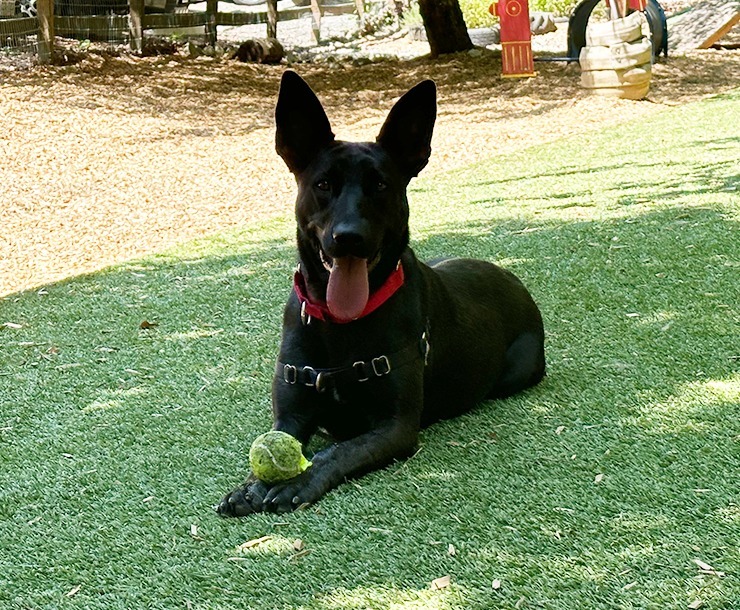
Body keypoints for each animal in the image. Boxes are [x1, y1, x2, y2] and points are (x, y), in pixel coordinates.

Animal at [217, 71, 548, 516]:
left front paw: (299, 480)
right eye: (323, 184)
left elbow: (339, 450)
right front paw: (250, 486)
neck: (341, 324)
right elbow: (278, 439)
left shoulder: (396, 427)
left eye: (379, 185)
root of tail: (511, 277)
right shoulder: (291, 414)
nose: (349, 238)